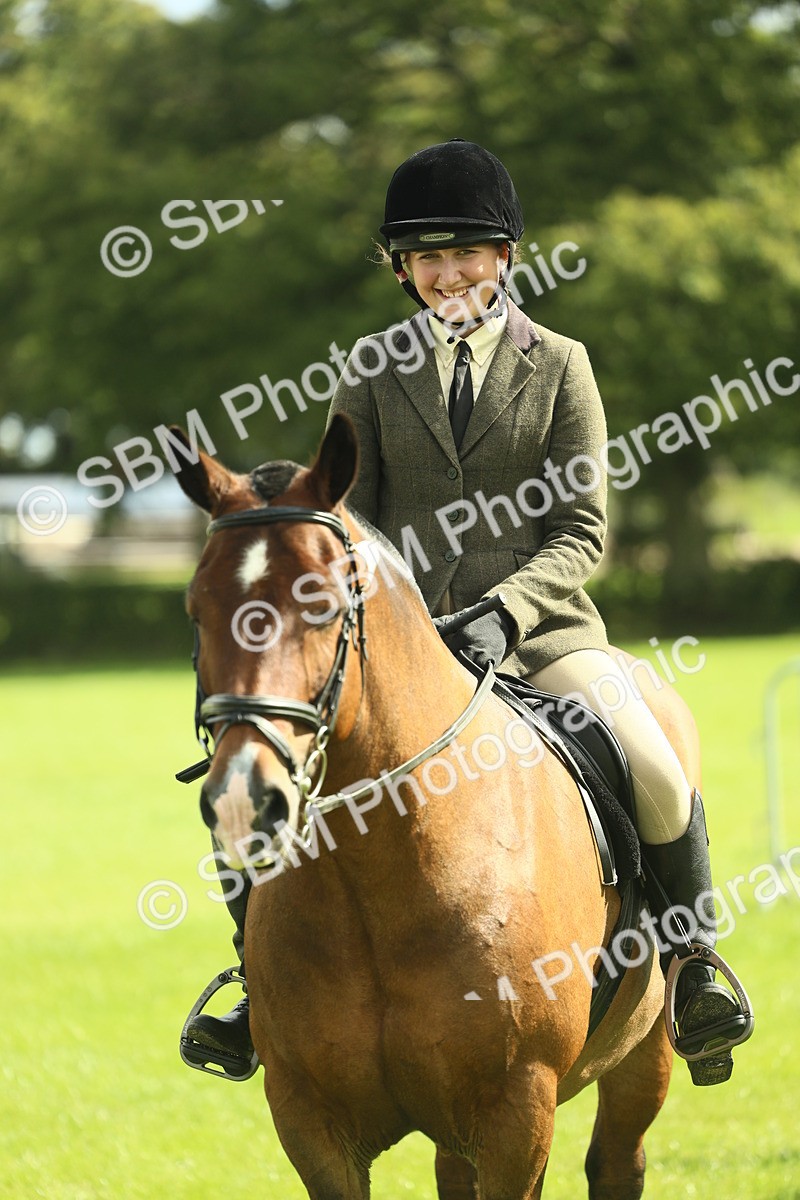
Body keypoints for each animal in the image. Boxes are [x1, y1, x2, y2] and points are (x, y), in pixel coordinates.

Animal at [173, 413, 698, 1200]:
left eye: (322, 605)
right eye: (196, 610)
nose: (243, 798)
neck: (381, 876)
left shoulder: (518, 1113)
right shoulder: (311, 1122)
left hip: (642, 1057)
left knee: (617, 1160)